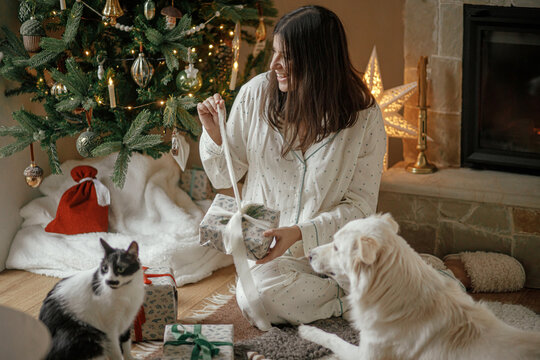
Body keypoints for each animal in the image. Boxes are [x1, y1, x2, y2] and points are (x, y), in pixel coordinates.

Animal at [300, 214, 540, 360]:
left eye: (336, 247)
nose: (309, 253)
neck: (390, 292)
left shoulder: (367, 353)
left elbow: (333, 338)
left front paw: (308, 330)